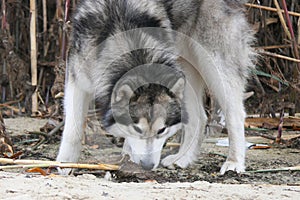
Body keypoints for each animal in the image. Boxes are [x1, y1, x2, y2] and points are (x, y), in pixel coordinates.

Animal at [56, 0, 255, 174]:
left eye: (162, 130)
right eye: (137, 129)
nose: (147, 166)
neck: (121, 25)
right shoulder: (76, 79)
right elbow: (73, 128)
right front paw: (65, 163)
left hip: (214, 65)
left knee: (235, 114)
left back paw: (234, 162)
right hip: (183, 68)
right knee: (200, 116)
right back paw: (182, 159)